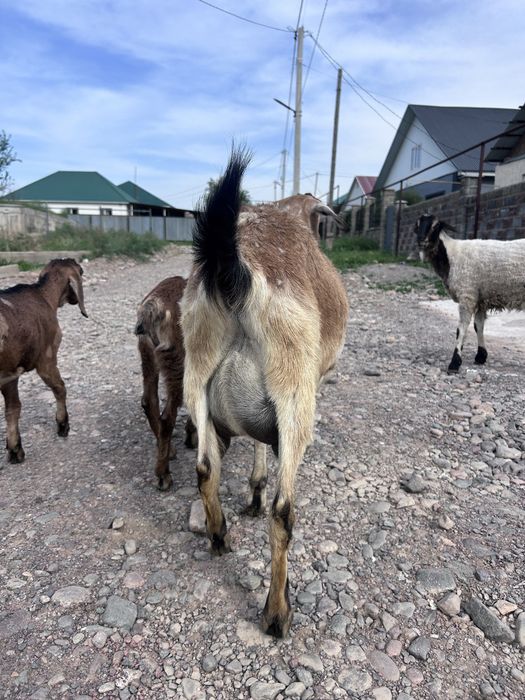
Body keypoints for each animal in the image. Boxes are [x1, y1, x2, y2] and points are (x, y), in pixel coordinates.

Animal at [135, 275, 197, 491]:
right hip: (176, 365)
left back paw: (169, 450)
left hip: (149, 356)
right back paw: (163, 475)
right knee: (167, 417)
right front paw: (191, 435)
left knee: (148, 401)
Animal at [181, 149, 349, 637]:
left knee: (205, 470)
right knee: (283, 511)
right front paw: (257, 491)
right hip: (294, 393)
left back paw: (219, 536)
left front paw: (250, 492)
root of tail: (234, 275)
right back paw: (277, 612)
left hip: (196, 377)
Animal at [415, 213, 525, 372]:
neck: (451, 255)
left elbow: (461, 328)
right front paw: (481, 356)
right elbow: (478, 326)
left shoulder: (467, 294)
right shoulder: (481, 297)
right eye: (417, 225)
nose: (421, 241)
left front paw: (455, 362)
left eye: (435, 226)